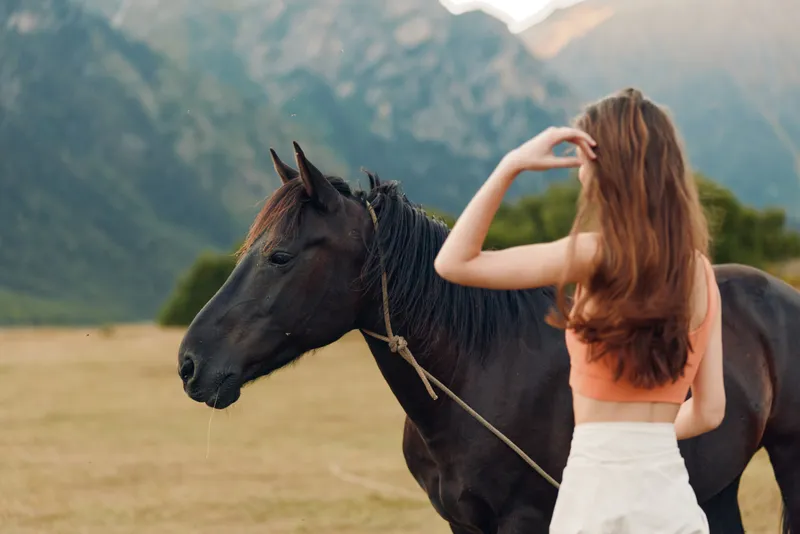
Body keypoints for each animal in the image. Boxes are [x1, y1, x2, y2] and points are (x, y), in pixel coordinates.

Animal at [177, 142, 800, 533]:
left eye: (280, 256)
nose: (189, 362)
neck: (480, 375)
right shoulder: (460, 522)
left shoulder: (526, 522)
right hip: (715, 483)